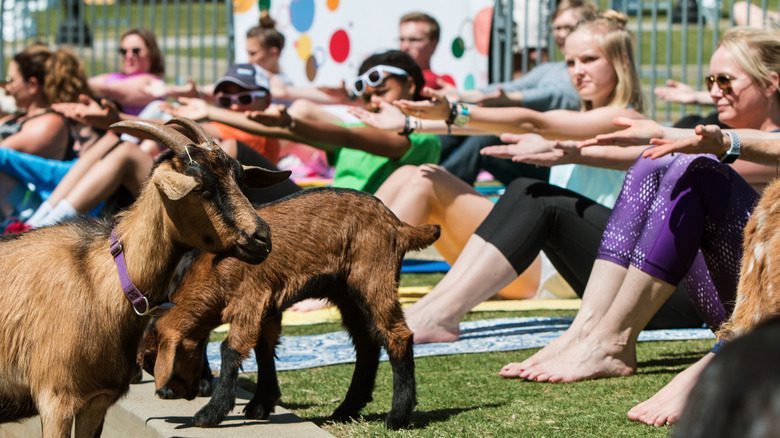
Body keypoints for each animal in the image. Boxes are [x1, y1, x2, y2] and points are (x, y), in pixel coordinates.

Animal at [0, 118, 288, 436]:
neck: (102, 279)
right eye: (200, 186)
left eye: (240, 180)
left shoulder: (97, 398)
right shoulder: (56, 398)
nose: (262, 238)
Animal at [139, 187, 438, 428]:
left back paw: (397, 417)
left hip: (373, 277)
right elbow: (263, 348)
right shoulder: (268, 307)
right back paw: (347, 409)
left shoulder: (250, 298)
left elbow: (231, 348)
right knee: (367, 342)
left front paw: (210, 413)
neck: (213, 268)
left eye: (156, 362)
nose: (183, 394)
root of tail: (398, 224)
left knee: (397, 335)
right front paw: (261, 404)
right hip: (347, 293)